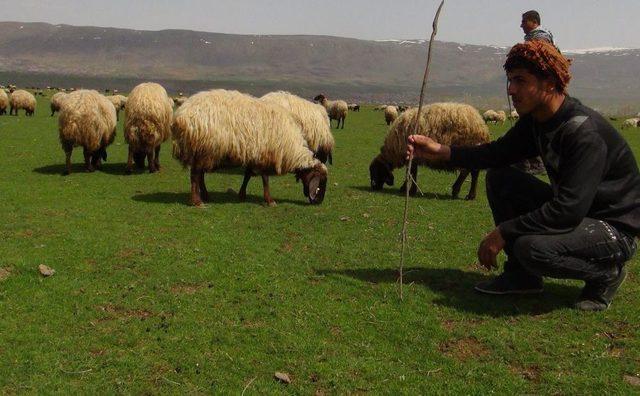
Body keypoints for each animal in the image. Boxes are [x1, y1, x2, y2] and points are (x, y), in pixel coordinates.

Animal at [172, 89, 328, 207]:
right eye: (320, 183)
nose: (319, 202)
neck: (290, 148)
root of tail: (181, 116)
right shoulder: (266, 154)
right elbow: (265, 179)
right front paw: (270, 200)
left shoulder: (254, 154)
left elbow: (247, 175)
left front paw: (242, 194)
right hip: (203, 149)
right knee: (195, 175)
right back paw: (197, 201)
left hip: (203, 151)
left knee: (200, 175)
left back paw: (205, 195)